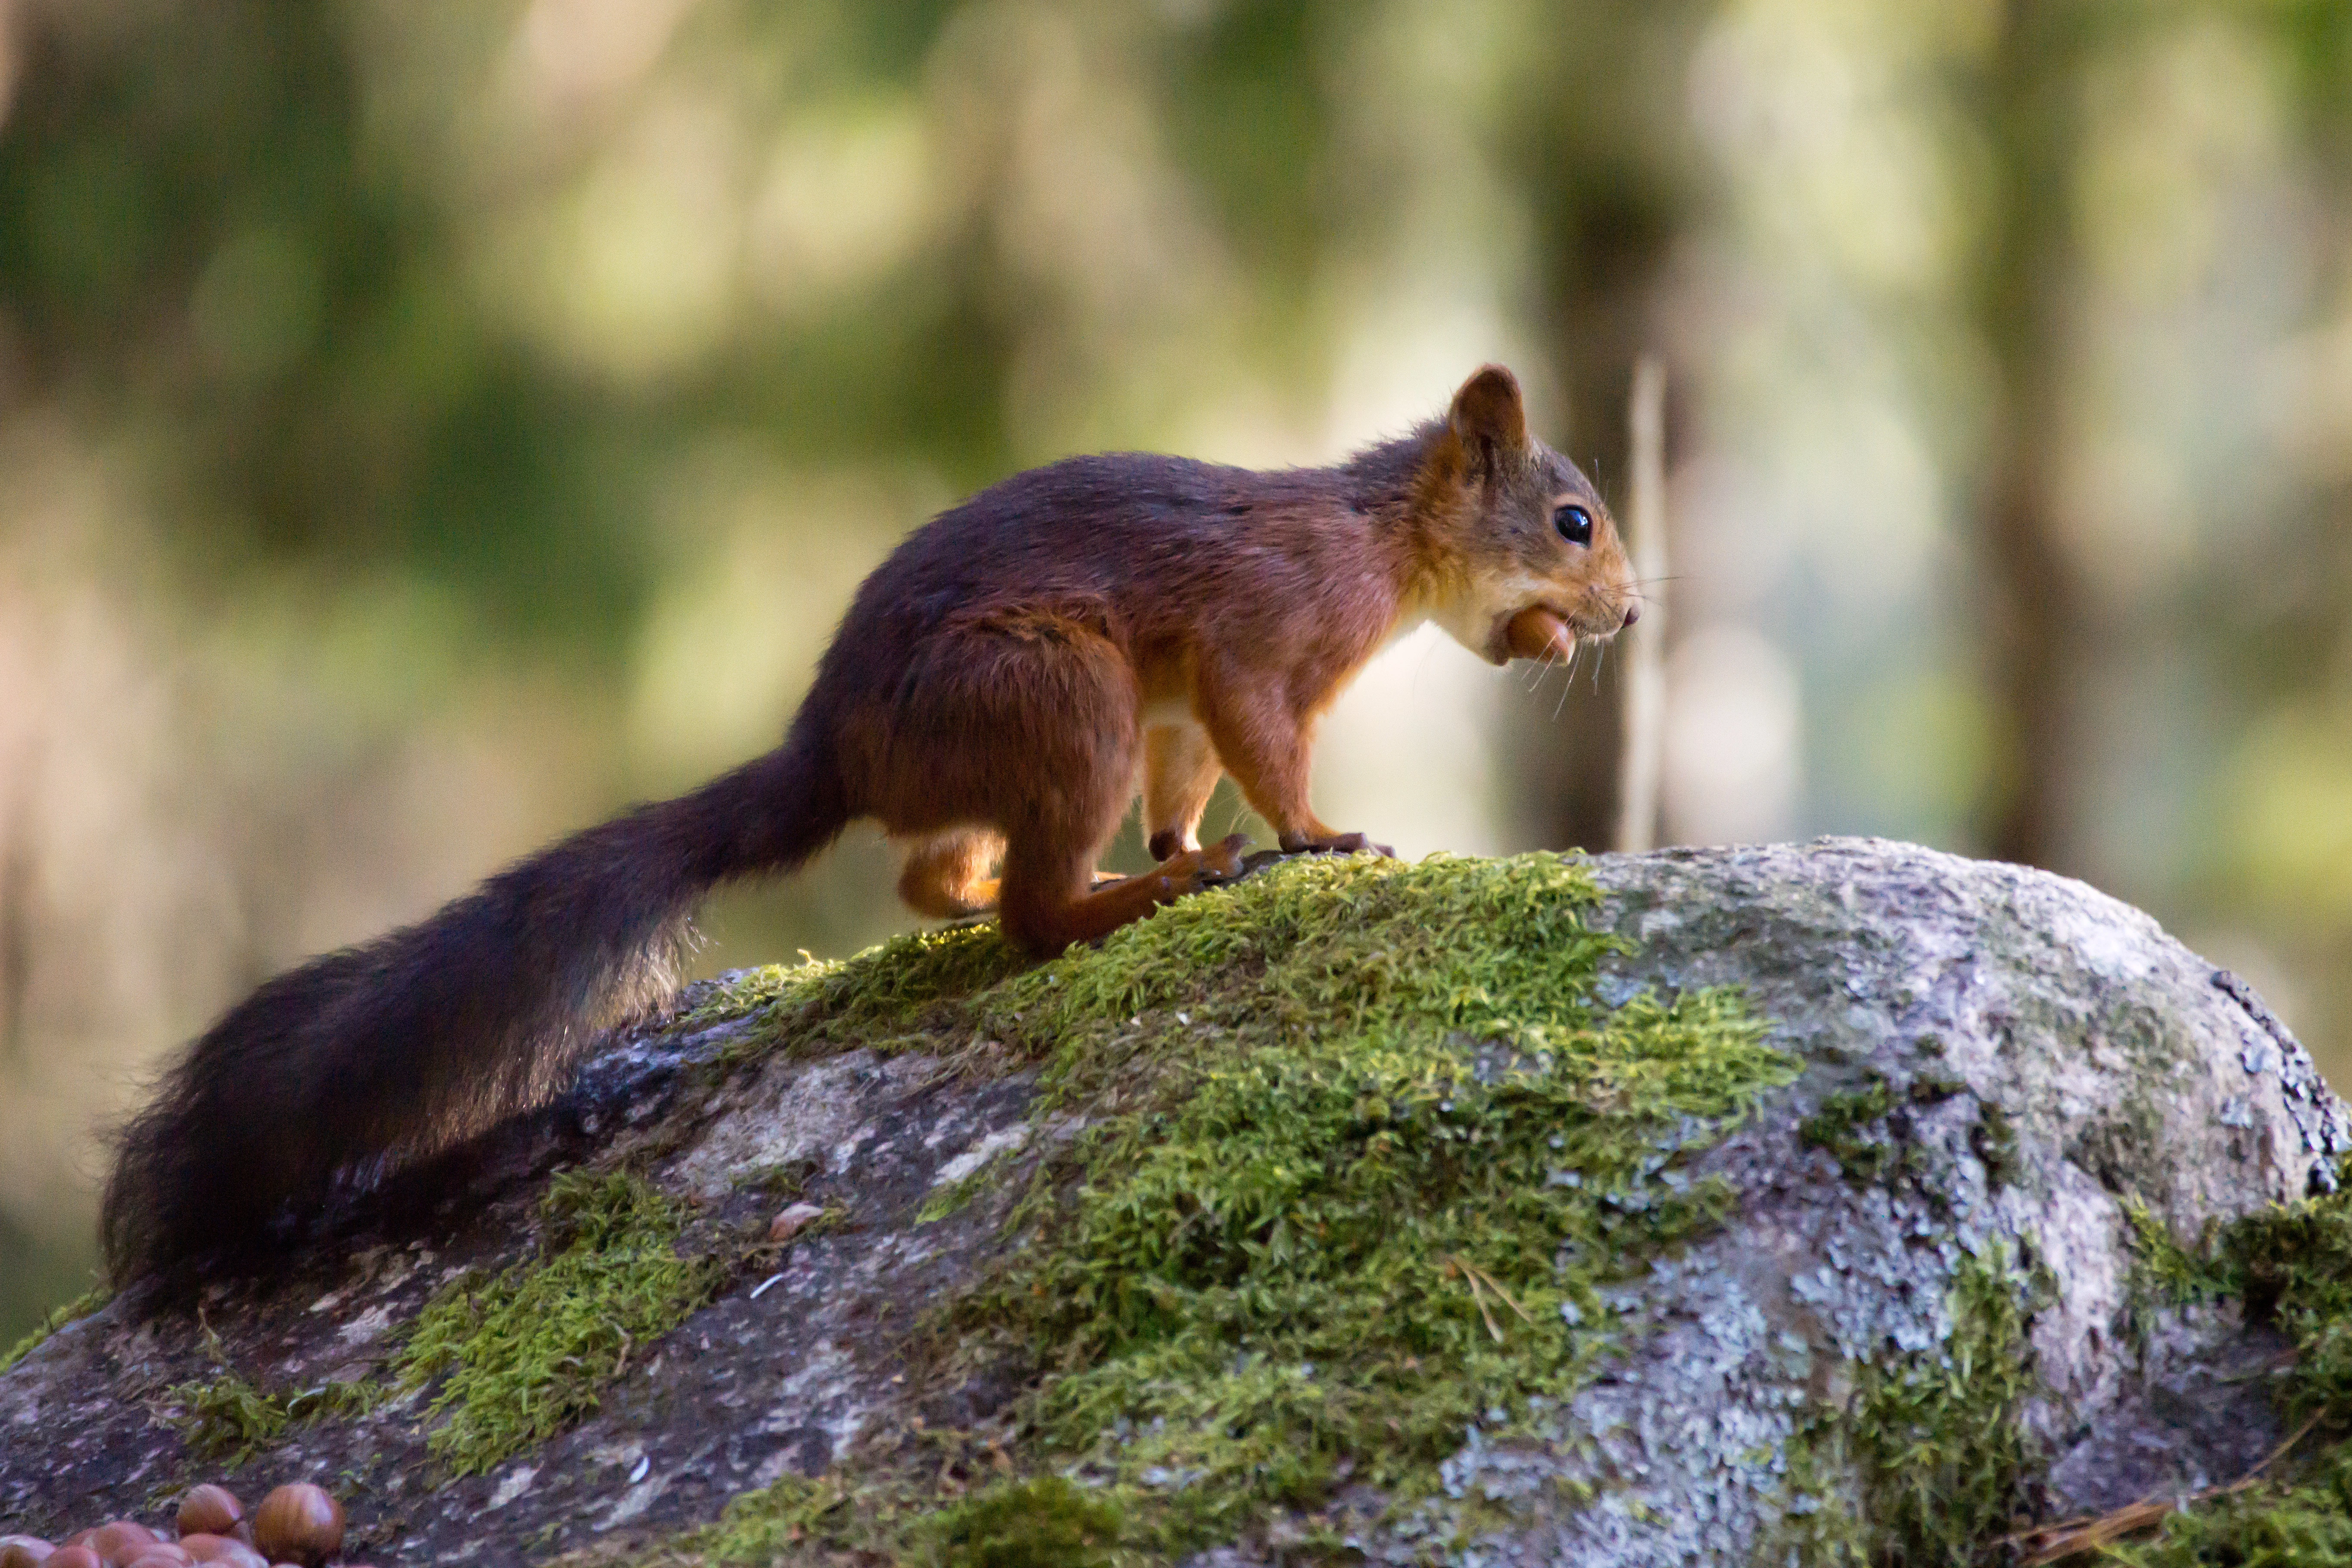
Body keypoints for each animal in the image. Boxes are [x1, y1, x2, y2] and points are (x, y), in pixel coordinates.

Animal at [101, 363, 1639, 1290]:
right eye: (1571, 520)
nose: (1625, 616)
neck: (1375, 544)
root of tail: (832, 749)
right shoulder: (1254, 647)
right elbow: (1262, 748)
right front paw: (1316, 836)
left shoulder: (1178, 716)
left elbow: (1187, 777)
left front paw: (1186, 839)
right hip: (1057, 691)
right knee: (1029, 911)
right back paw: (1129, 900)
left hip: (1028, 735)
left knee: (933, 878)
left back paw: (1089, 881)